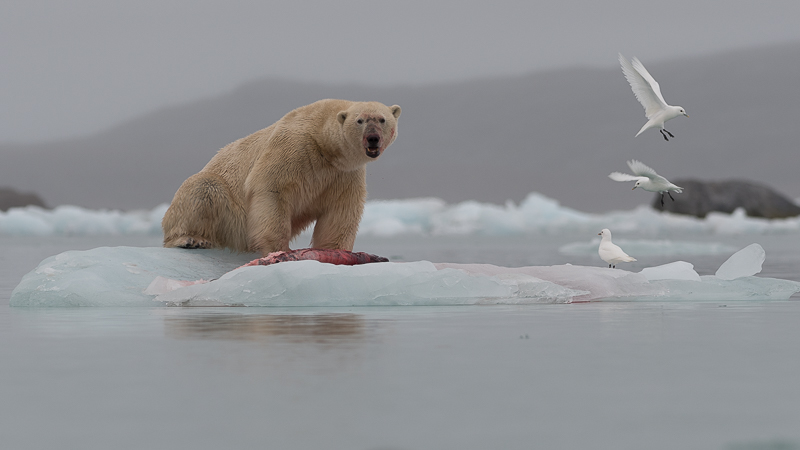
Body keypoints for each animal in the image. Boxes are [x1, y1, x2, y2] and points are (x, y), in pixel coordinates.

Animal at [161, 100, 400, 256]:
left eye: (382, 119)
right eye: (360, 120)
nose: (373, 138)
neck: (324, 144)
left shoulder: (343, 173)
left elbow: (341, 210)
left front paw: (334, 251)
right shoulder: (293, 148)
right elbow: (272, 189)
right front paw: (280, 249)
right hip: (231, 216)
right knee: (203, 187)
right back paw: (190, 239)